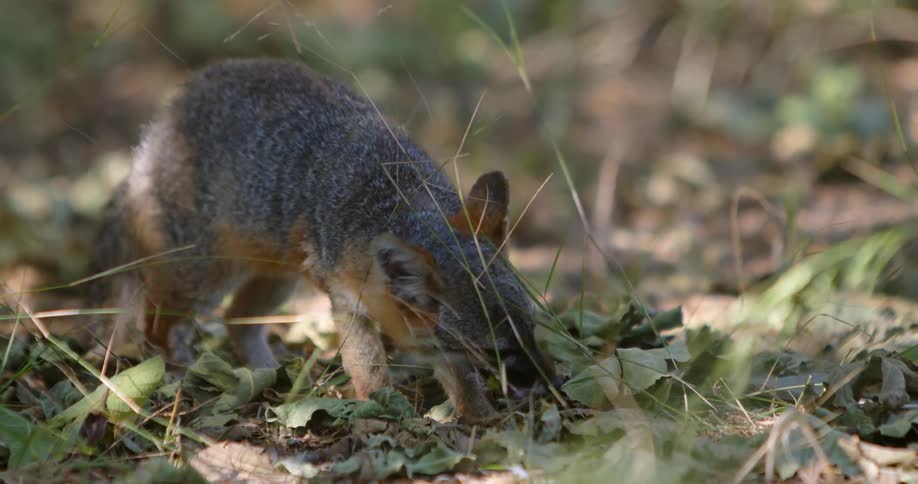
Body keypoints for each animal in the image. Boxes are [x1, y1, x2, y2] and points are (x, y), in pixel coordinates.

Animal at [86, 58, 555, 421]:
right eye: (498, 350)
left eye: (531, 329)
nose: (553, 382)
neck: (397, 198)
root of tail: (161, 123)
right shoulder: (348, 303)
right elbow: (369, 367)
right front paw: (383, 407)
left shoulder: (421, 325)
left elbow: (457, 373)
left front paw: (478, 415)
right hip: (204, 277)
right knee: (158, 323)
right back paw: (179, 371)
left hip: (278, 277)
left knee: (237, 318)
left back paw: (271, 377)